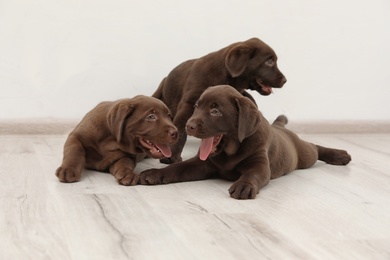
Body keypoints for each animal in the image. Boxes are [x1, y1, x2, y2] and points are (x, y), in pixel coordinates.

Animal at [141, 85, 354, 199]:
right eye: (196, 106)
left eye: (215, 111)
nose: (188, 125)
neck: (230, 151)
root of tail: (280, 127)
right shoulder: (203, 164)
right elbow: (176, 169)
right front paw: (154, 173)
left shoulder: (259, 164)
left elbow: (253, 174)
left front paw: (244, 185)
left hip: (304, 156)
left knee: (314, 148)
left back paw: (339, 155)